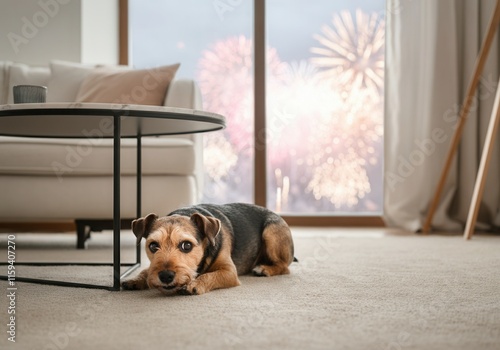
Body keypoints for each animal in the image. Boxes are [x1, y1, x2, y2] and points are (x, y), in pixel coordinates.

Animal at [121, 202, 294, 296]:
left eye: (187, 245)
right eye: (153, 245)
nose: (165, 276)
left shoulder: (229, 272)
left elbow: (210, 275)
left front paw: (194, 284)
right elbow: (146, 270)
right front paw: (135, 279)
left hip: (271, 231)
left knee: (284, 267)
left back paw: (264, 269)